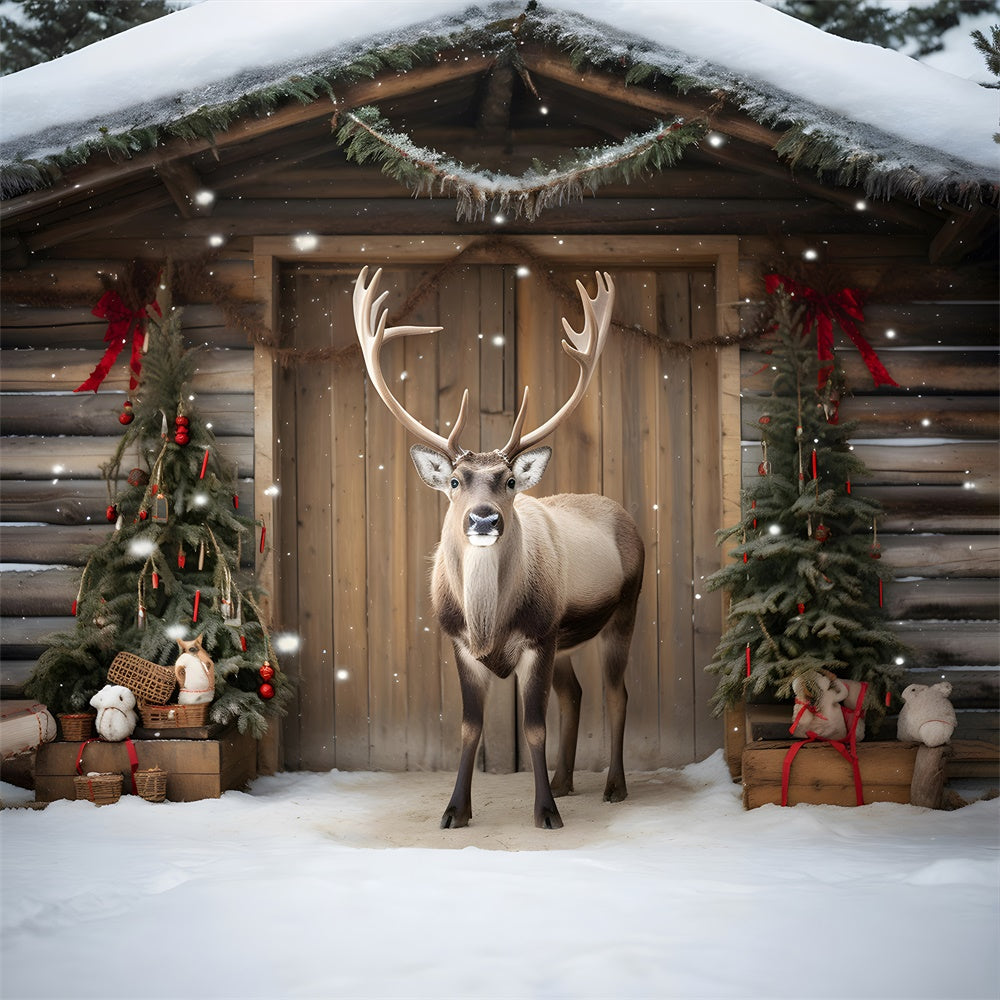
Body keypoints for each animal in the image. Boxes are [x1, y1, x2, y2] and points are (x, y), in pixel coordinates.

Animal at [353, 266, 644, 829]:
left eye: (509, 481)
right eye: (454, 482)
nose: (484, 517)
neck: (489, 621)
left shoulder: (539, 636)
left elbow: (532, 727)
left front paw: (546, 813)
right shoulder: (460, 643)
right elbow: (470, 727)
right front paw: (454, 810)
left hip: (622, 609)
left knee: (617, 693)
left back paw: (614, 786)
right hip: (567, 638)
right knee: (575, 693)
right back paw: (566, 780)